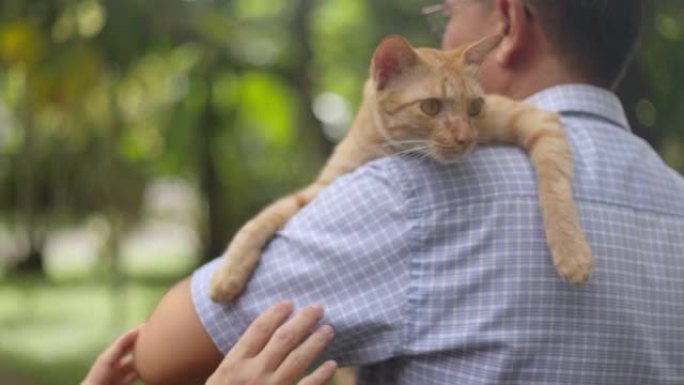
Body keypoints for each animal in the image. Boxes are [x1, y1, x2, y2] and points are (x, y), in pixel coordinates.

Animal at [208, 34, 592, 302]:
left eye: (475, 107)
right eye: (431, 107)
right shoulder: (324, 187)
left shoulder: (540, 121)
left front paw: (571, 251)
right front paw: (228, 273)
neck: (385, 147)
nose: (466, 138)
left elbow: (554, 186)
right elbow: (264, 217)